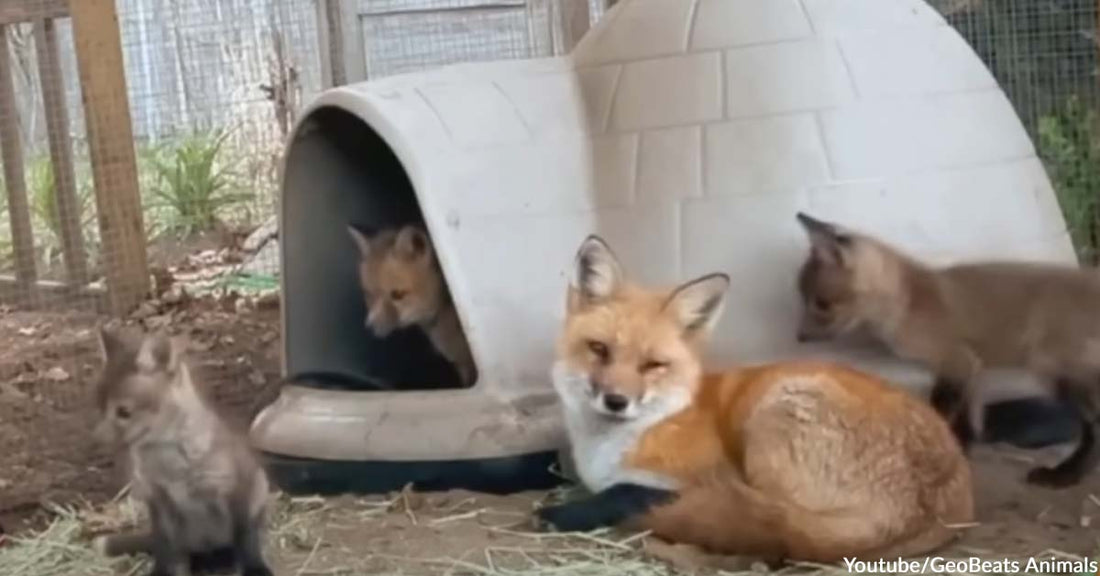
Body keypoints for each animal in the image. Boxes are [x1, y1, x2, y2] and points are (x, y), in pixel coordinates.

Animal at [90, 327, 274, 576]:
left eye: (124, 412)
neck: (174, 470)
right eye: (99, 407)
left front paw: (257, 569)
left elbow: (246, 541)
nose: (95, 442)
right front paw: (160, 572)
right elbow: (165, 551)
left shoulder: (237, 491)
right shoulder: (158, 501)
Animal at [534, 235, 973, 563]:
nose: (615, 401)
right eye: (599, 349)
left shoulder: (701, 476)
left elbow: (621, 492)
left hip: (772, 419)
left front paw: (567, 512)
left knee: (772, 531)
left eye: (653, 365)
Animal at [794, 211, 1098, 487]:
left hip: (1050, 369)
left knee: (1095, 429)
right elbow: (968, 424)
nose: (800, 337)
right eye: (805, 300)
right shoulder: (970, 370)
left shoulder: (957, 361)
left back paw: (1063, 476)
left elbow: (941, 415)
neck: (908, 302)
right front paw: (962, 457)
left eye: (821, 304)